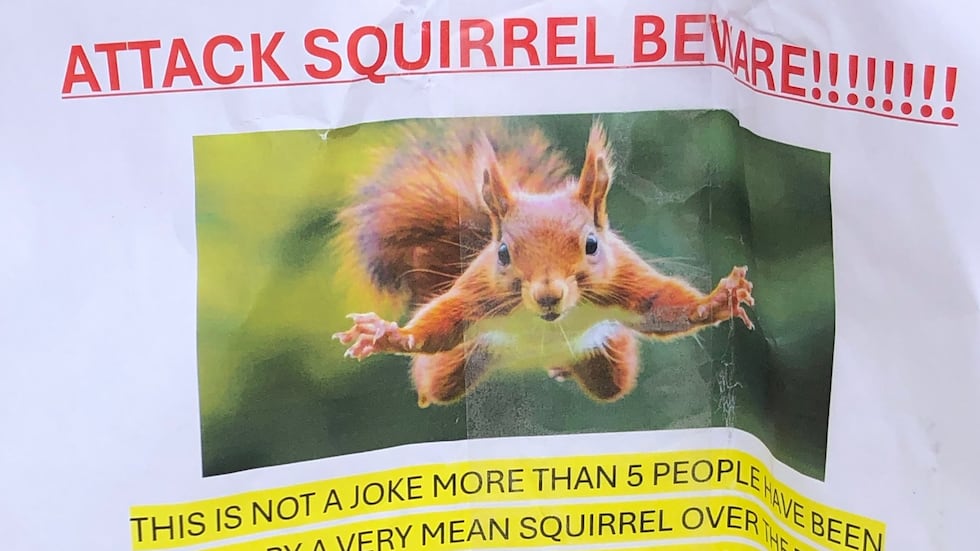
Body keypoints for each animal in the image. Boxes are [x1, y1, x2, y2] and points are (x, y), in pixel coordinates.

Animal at [332, 117, 755, 408]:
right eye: (503, 253)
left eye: (591, 244)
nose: (548, 295)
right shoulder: (479, 293)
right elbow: (443, 322)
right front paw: (388, 335)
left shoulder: (623, 280)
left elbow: (661, 307)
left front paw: (717, 301)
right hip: (456, 366)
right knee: (435, 379)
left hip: (607, 365)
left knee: (612, 381)